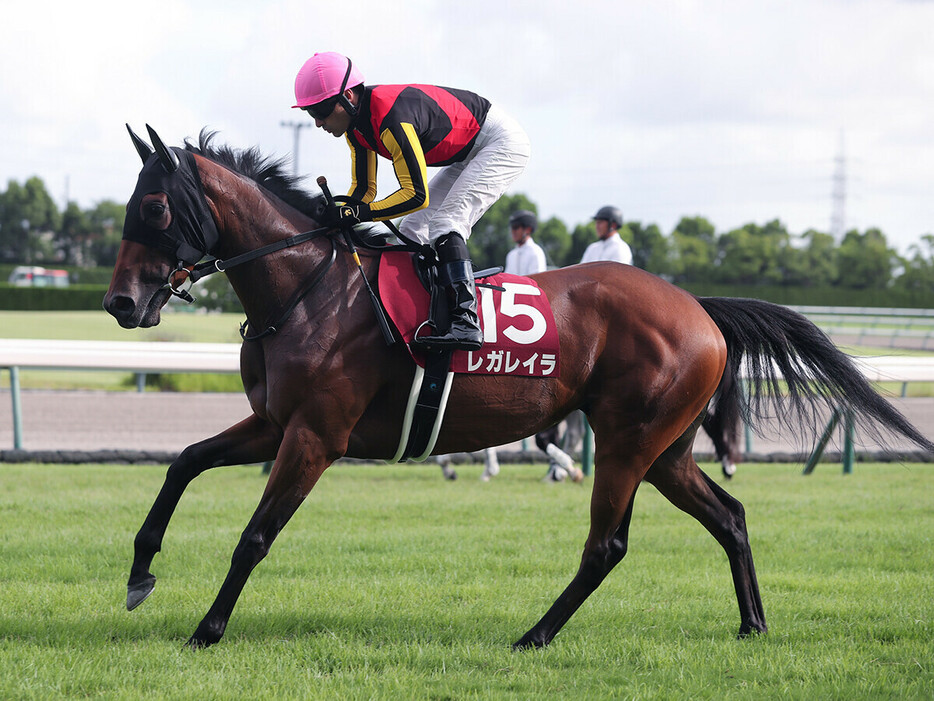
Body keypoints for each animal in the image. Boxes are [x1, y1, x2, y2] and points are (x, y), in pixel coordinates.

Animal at [104, 124, 934, 644]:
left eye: (154, 206)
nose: (119, 303)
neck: (309, 287)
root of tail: (698, 307)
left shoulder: (315, 436)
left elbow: (254, 534)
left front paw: (208, 628)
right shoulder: (275, 423)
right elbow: (182, 464)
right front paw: (140, 572)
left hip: (628, 440)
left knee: (606, 544)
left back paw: (535, 632)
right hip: (665, 448)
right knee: (728, 516)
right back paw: (751, 621)